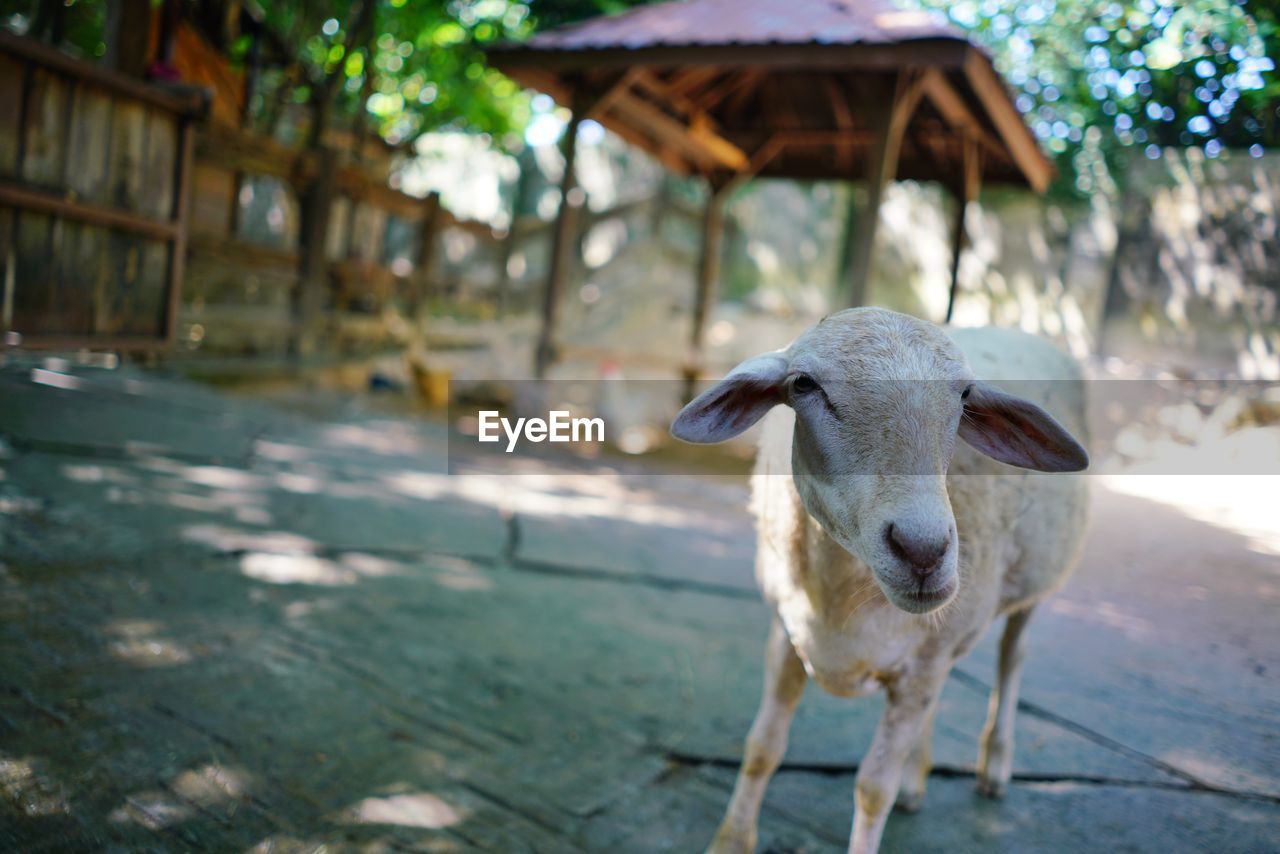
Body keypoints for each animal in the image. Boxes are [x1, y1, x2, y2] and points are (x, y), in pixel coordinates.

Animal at [670, 307, 1090, 854]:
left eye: (965, 396)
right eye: (803, 384)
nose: (924, 549)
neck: (837, 598)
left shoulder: (923, 662)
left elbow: (873, 789)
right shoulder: (788, 630)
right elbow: (762, 747)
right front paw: (731, 841)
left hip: (1031, 584)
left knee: (1012, 654)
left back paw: (994, 764)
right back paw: (917, 779)